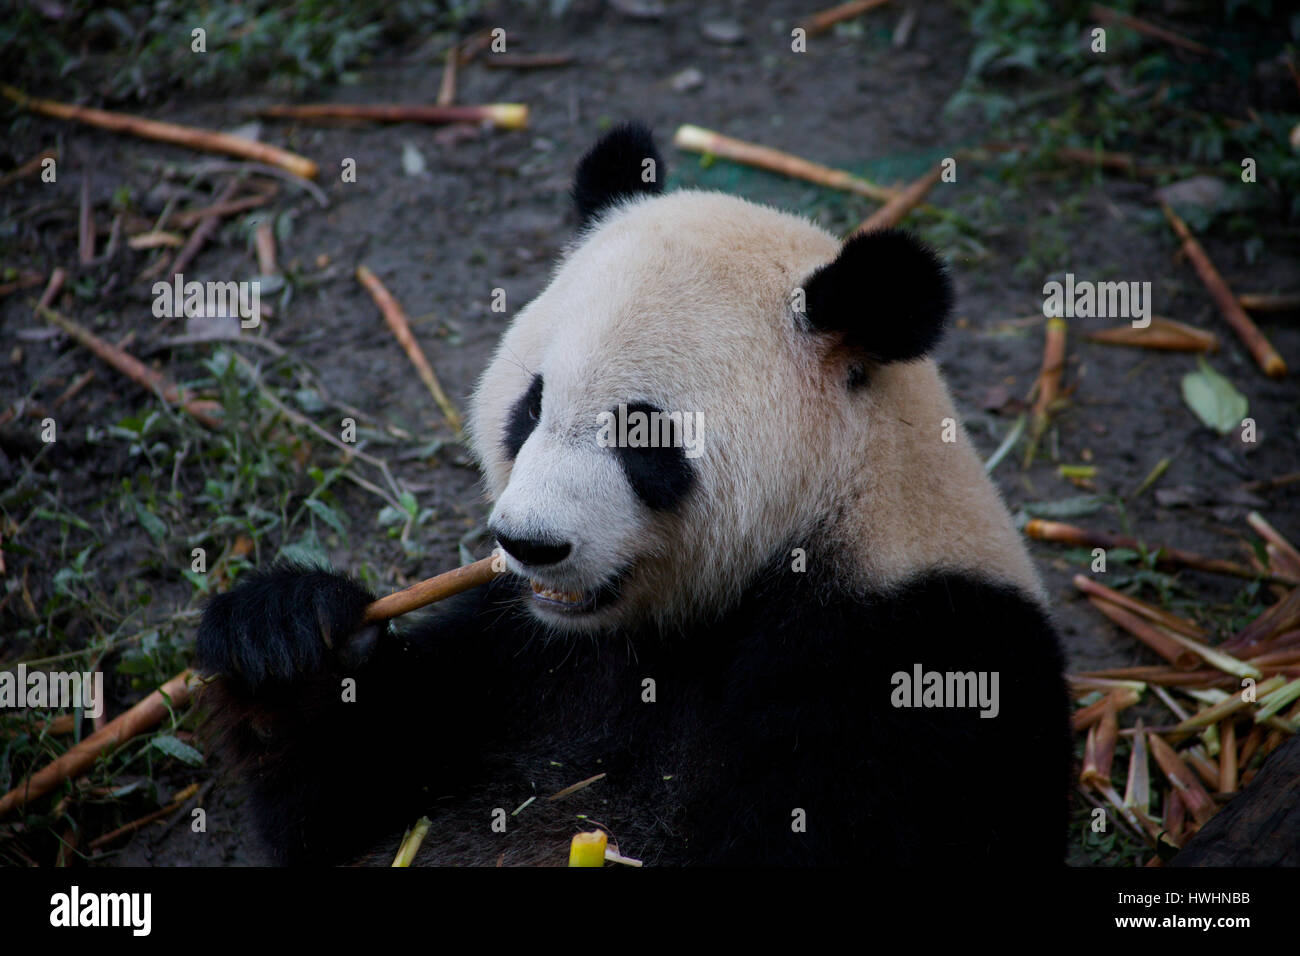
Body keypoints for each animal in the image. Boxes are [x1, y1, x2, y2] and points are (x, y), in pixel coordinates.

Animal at [196, 122, 1073, 866]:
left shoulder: (917, 661)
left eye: (643, 438)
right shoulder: (522, 646)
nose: (529, 543)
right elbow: (342, 798)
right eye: (530, 407)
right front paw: (288, 634)